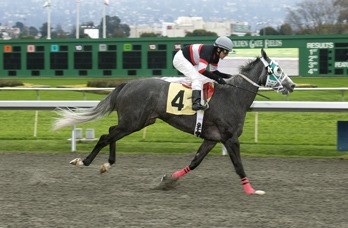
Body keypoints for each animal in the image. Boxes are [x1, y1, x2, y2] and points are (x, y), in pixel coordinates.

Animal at [54, 49, 296, 195]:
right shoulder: (230, 138)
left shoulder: (212, 139)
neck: (234, 96)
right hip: (133, 121)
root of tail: (127, 84)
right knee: (106, 135)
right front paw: (251, 190)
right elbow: (238, 166)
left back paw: (107, 164)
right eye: (277, 69)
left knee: (112, 132)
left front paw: (167, 179)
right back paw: (84, 161)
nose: (292, 85)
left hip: (138, 121)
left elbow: (195, 162)